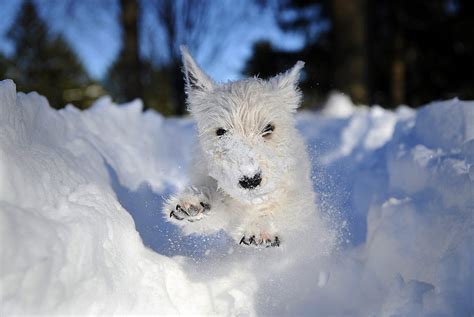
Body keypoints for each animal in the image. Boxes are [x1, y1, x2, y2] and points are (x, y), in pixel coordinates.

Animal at [164, 46, 318, 247]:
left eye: (268, 128)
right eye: (221, 131)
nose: (250, 180)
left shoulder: (300, 204)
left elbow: (282, 208)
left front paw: (260, 229)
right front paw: (193, 204)